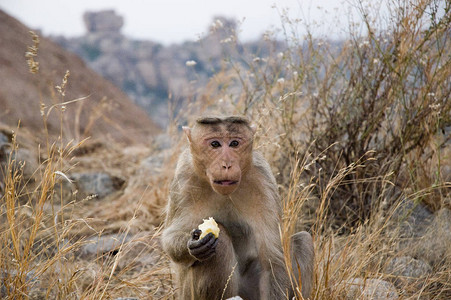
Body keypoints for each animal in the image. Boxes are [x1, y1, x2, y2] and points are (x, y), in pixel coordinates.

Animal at [162, 116, 314, 298]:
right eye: (215, 144)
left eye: (234, 143)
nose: (227, 164)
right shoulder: (184, 180)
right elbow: (170, 237)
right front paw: (193, 244)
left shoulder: (263, 181)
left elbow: (273, 261)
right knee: (221, 240)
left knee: (304, 240)